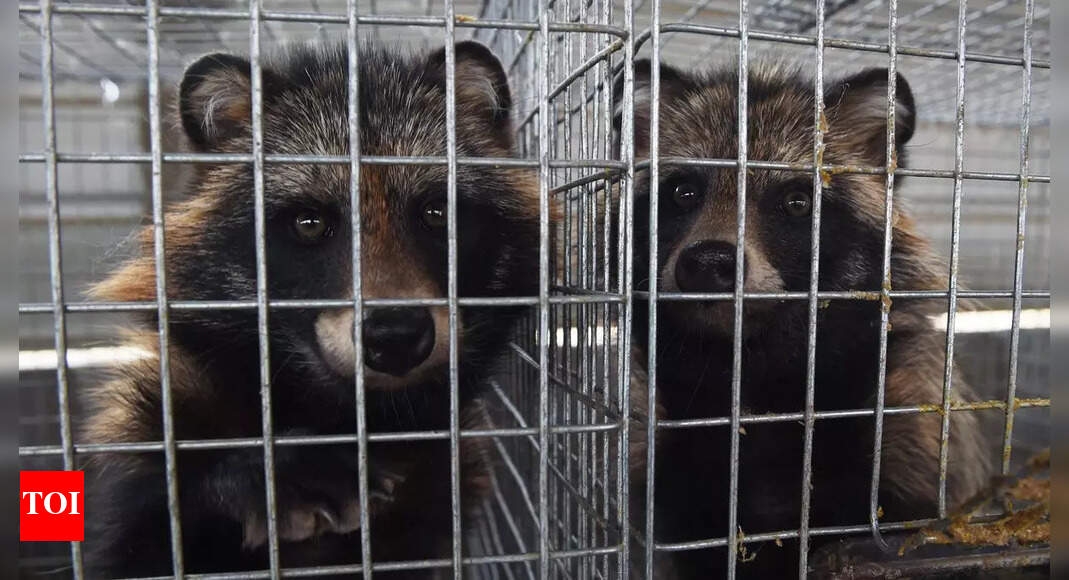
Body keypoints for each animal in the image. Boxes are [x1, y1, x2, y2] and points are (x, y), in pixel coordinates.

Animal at [82, 41, 540, 578]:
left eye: (437, 213)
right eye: (309, 223)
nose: (397, 336)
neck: (349, 413)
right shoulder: (153, 424)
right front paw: (243, 471)